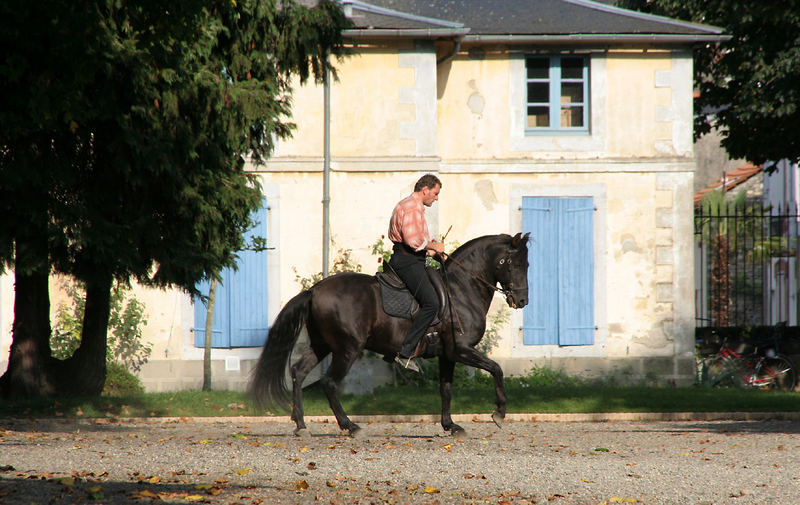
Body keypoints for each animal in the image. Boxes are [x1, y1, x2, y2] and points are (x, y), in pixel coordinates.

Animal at [247, 232, 528, 434]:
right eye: (513, 263)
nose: (522, 300)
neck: (459, 291)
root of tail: (315, 290)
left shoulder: (448, 354)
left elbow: (446, 389)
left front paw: (450, 425)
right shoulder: (462, 350)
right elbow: (496, 369)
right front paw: (499, 413)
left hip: (322, 345)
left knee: (298, 372)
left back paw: (301, 423)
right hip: (347, 348)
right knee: (329, 383)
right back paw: (350, 426)